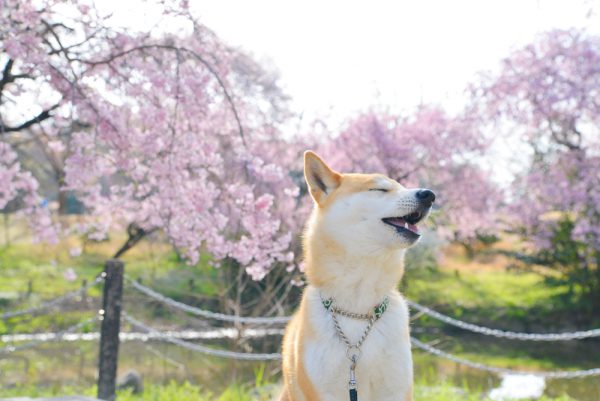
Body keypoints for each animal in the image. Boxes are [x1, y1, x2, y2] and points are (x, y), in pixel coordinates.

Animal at [278, 151, 434, 400]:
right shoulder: (325, 391)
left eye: (401, 186)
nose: (429, 194)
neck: (357, 309)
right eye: (380, 189)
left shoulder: (396, 388)